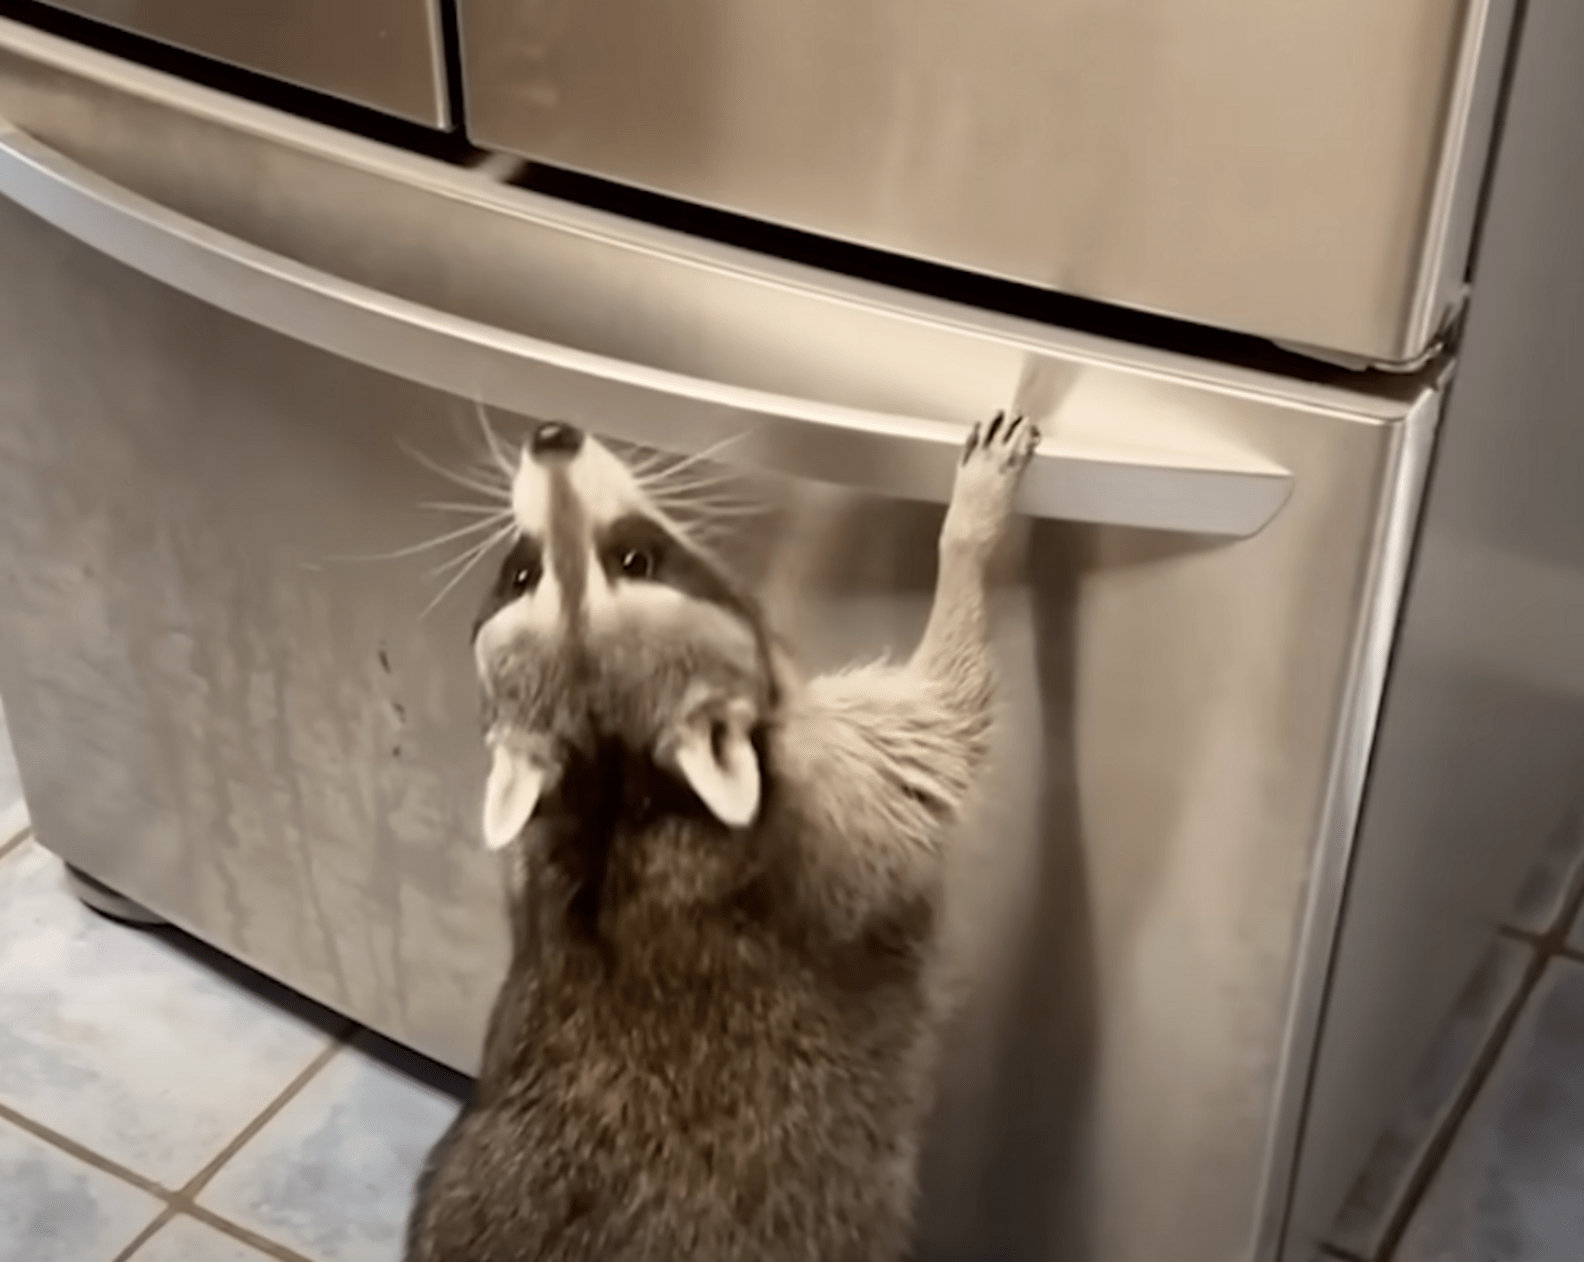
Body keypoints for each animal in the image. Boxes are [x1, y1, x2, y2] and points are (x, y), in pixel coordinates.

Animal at [403, 412, 1039, 1262]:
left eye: (521, 574)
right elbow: (951, 703)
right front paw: (970, 527)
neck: (624, 797)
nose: (552, 435)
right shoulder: (850, 796)